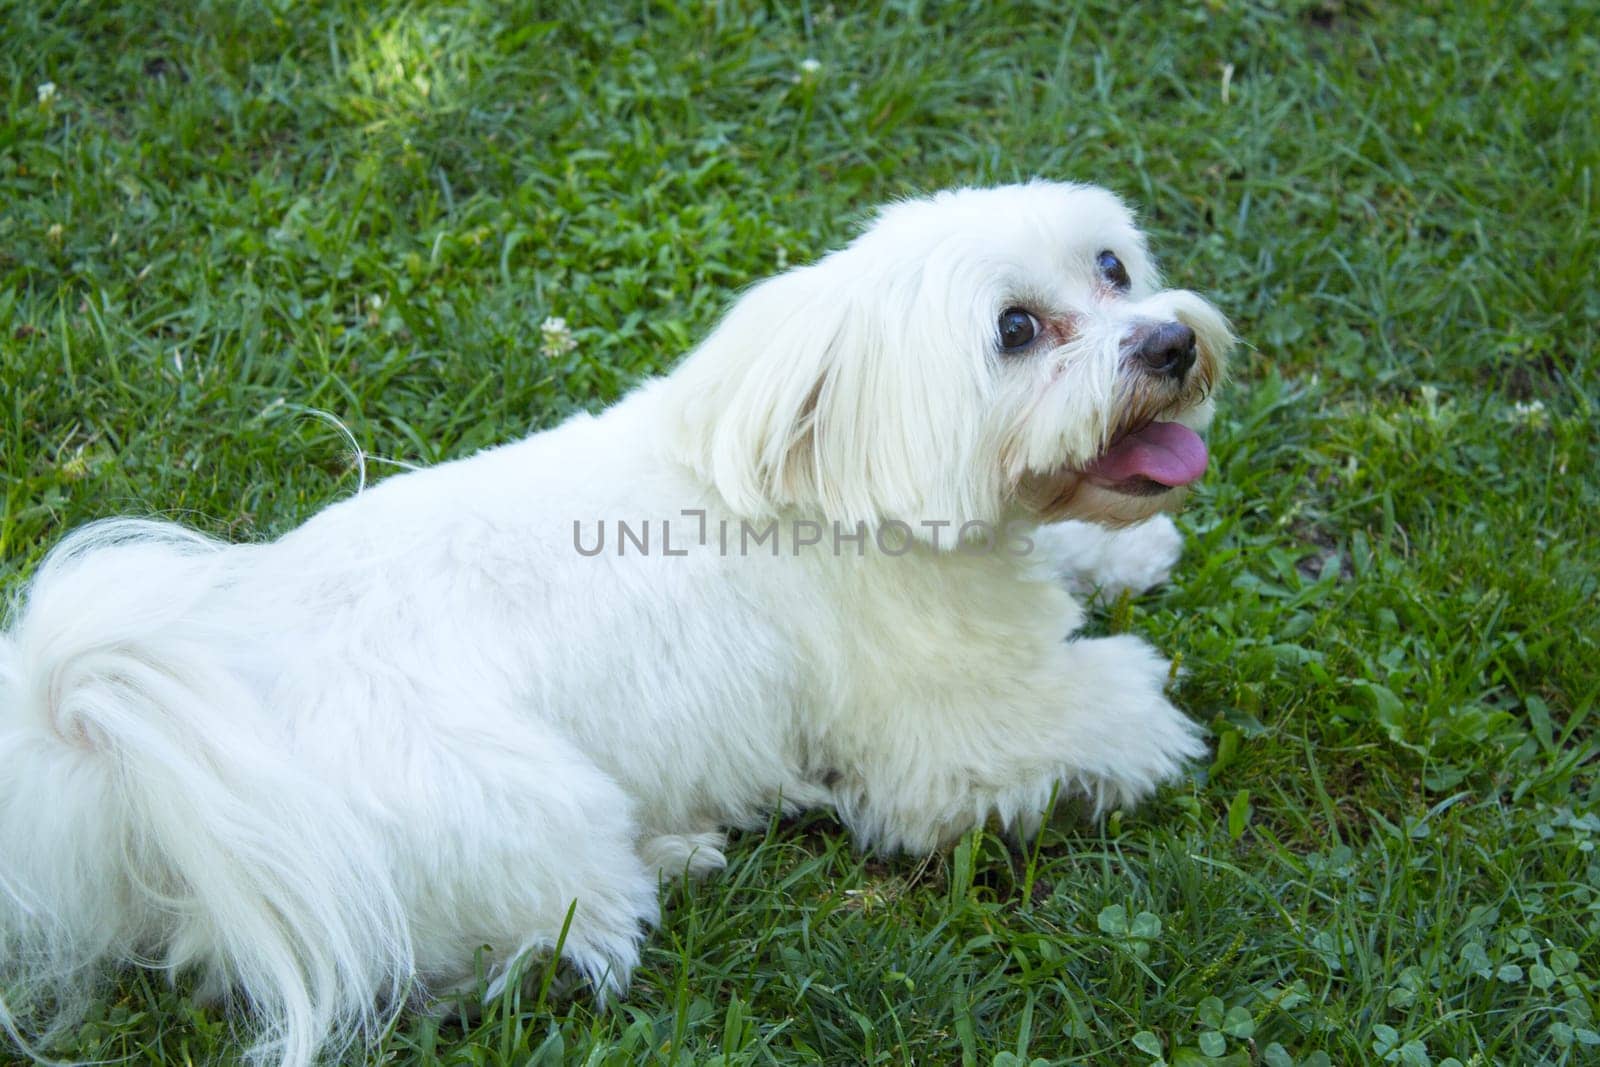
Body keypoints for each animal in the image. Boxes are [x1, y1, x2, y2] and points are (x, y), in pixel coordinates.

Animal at [0, 179, 1228, 1062]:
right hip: (514, 825)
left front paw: (1125, 550)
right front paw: (1148, 709)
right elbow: (1065, 721)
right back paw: (665, 858)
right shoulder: (943, 739)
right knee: (503, 954)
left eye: (1112, 267)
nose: (1169, 343)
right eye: (1015, 329)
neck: (835, 473)